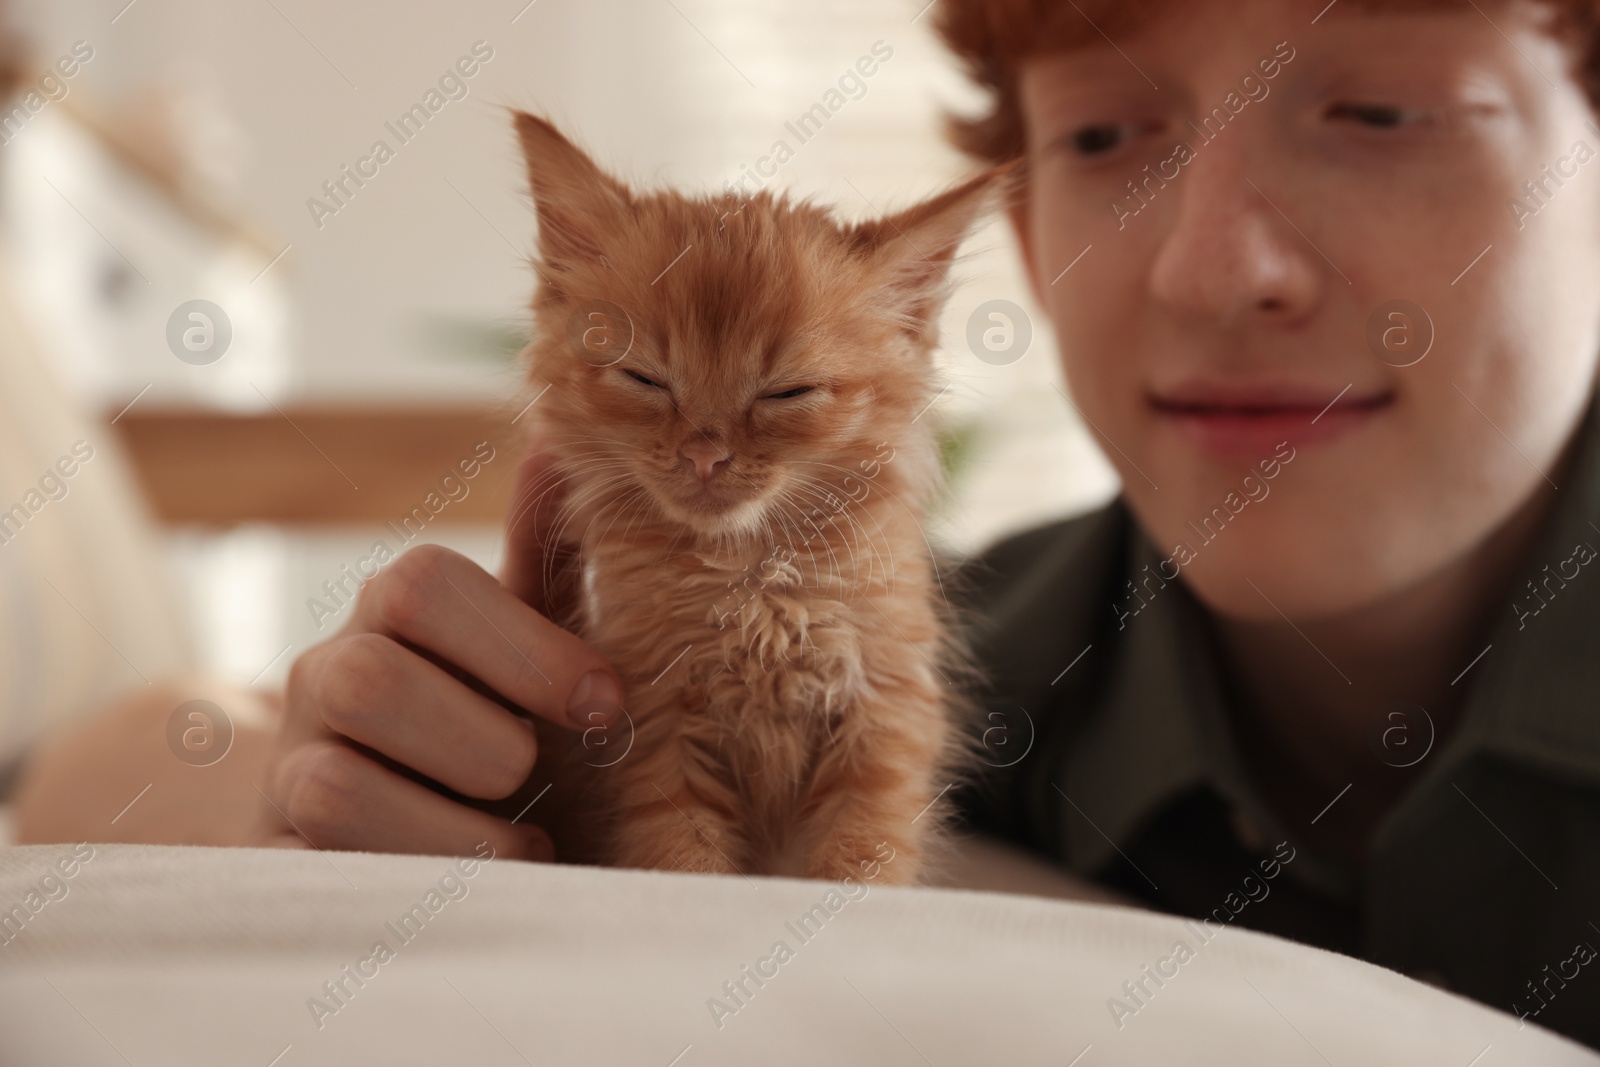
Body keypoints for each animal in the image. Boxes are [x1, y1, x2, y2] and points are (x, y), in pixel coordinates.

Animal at [512, 115, 1004, 883]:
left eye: (787, 392)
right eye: (644, 378)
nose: (704, 454)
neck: (754, 576)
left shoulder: (884, 714)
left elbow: (863, 853)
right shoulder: (656, 724)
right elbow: (682, 855)